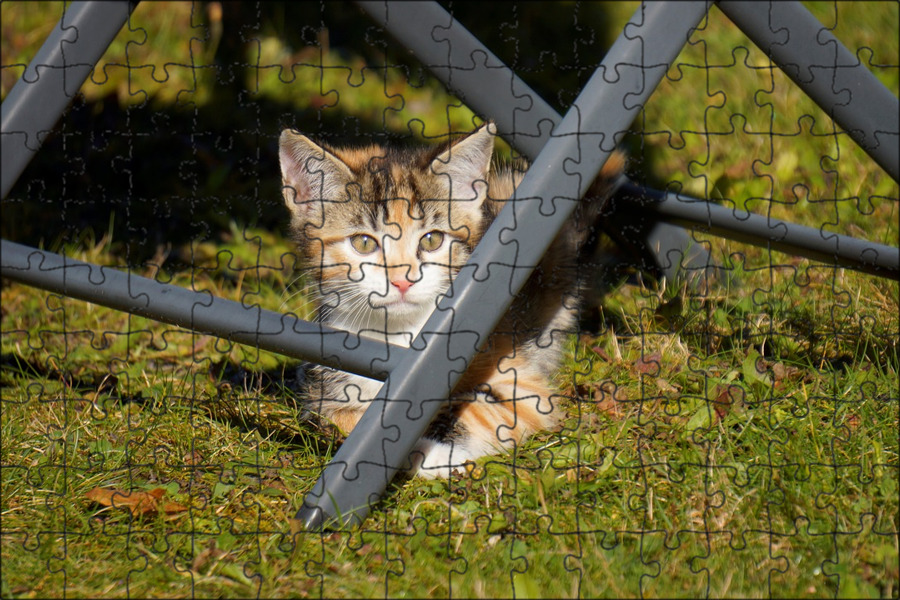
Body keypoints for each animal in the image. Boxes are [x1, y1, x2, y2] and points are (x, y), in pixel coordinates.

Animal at [278, 122, 624, 478]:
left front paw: (435, 452)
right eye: (363, 243)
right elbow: (335, 417)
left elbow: (478, 409)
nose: (403, 280)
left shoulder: (525, 388)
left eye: (432, 240)